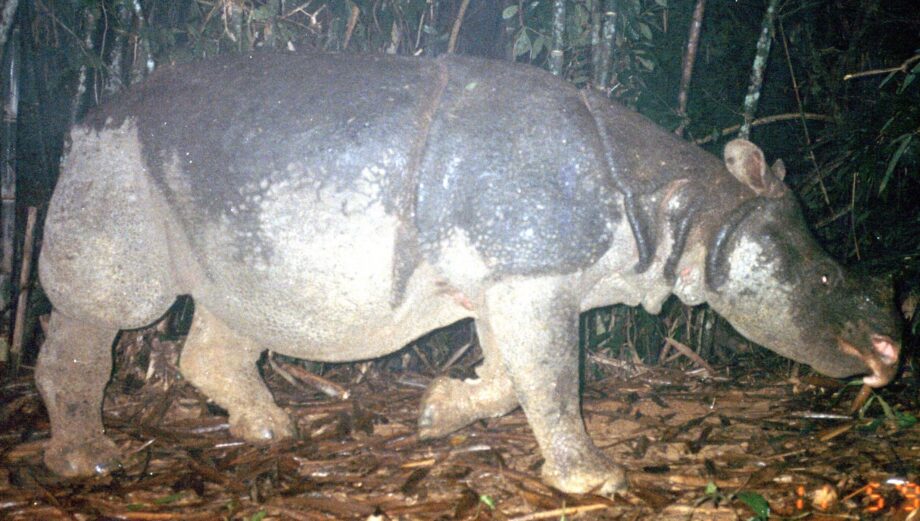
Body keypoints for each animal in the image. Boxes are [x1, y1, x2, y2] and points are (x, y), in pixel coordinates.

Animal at [37, 53, 901, 495]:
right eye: (826, 284)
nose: (892, 354)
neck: (691, 207)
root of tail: (79, 121)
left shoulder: (510, 276)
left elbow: (514, 376)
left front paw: (434, 414)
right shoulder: (533, 271)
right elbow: (552, 375)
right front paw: (595, 480)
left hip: (215, 187)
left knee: (231, 306)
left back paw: (272, 430)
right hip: (114, 165)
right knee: (109, 308)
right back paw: (89, 462)